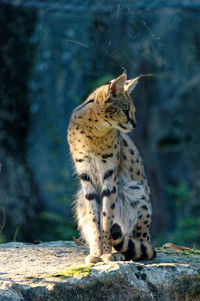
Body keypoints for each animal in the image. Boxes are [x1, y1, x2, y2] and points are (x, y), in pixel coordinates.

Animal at [67, 72, 156, 262]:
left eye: (133, 111)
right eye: (125, 110)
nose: (135, 124)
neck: (93, 133)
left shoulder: (109, 174)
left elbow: (107, 217)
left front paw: (107, 253)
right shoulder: (85, 174)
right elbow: (95, 219)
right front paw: (96, 253)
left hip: (134, 189)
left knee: (141, 243)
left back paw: (120, 251)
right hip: (80, 200)